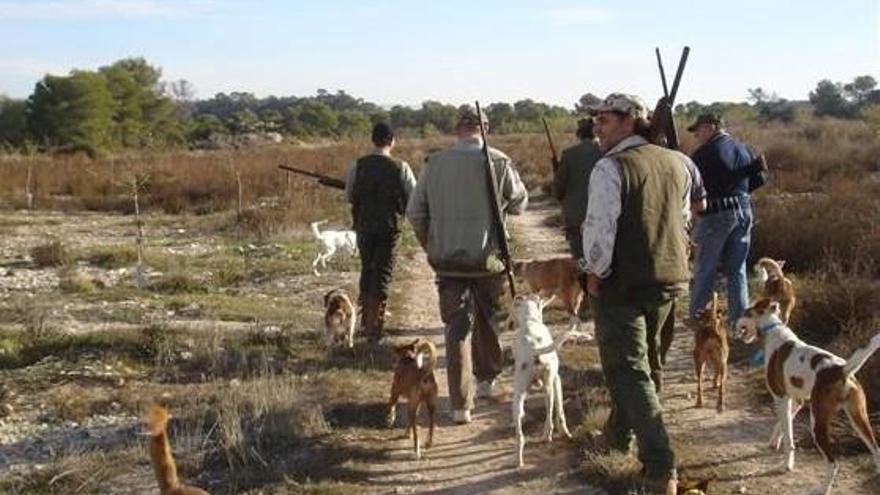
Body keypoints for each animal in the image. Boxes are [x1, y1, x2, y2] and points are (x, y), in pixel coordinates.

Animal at [506, 294, 576, 468]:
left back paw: (519, 461)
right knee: (549, 415)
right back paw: (546, 436)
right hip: (548, 387)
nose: (509, 323)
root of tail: (534, 349)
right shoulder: (557, 380)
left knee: (520, 434)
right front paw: (566, 432)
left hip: (517, 397)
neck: (530, 321)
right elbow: (560, 410)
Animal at [736, 296, 880, 494]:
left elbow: (789, 437)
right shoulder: (797, 400)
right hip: (859, 419)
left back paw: (823, 489)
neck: (773, 329)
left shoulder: (781, 398)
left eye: (745, 313)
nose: (735, 324)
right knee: (876, 450)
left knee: (833, 463)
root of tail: (841, 370)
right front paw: (774, 441)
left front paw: (787, 464)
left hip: (817, 422)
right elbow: (781, 424)